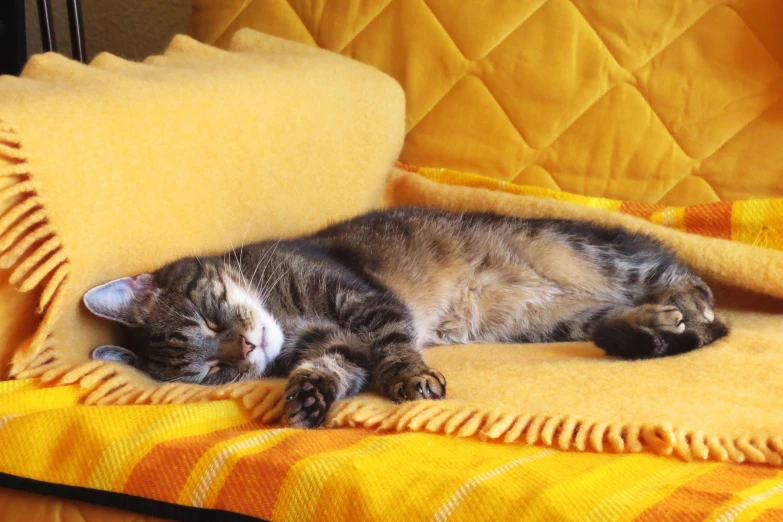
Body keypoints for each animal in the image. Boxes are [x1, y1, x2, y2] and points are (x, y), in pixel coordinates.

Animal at [84, 205, 728, 424]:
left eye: (210, 319)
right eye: (210, 372)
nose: (242, 349)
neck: (285, 319)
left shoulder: (367, 302)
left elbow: (394, 346)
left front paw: (412, 378)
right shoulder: (337, 344)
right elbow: (331, 366)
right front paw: (309, 396)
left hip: (590, 255)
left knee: (686, 280)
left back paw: (684, 307)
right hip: (558, 318)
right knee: (631, 321)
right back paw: (652, 326)